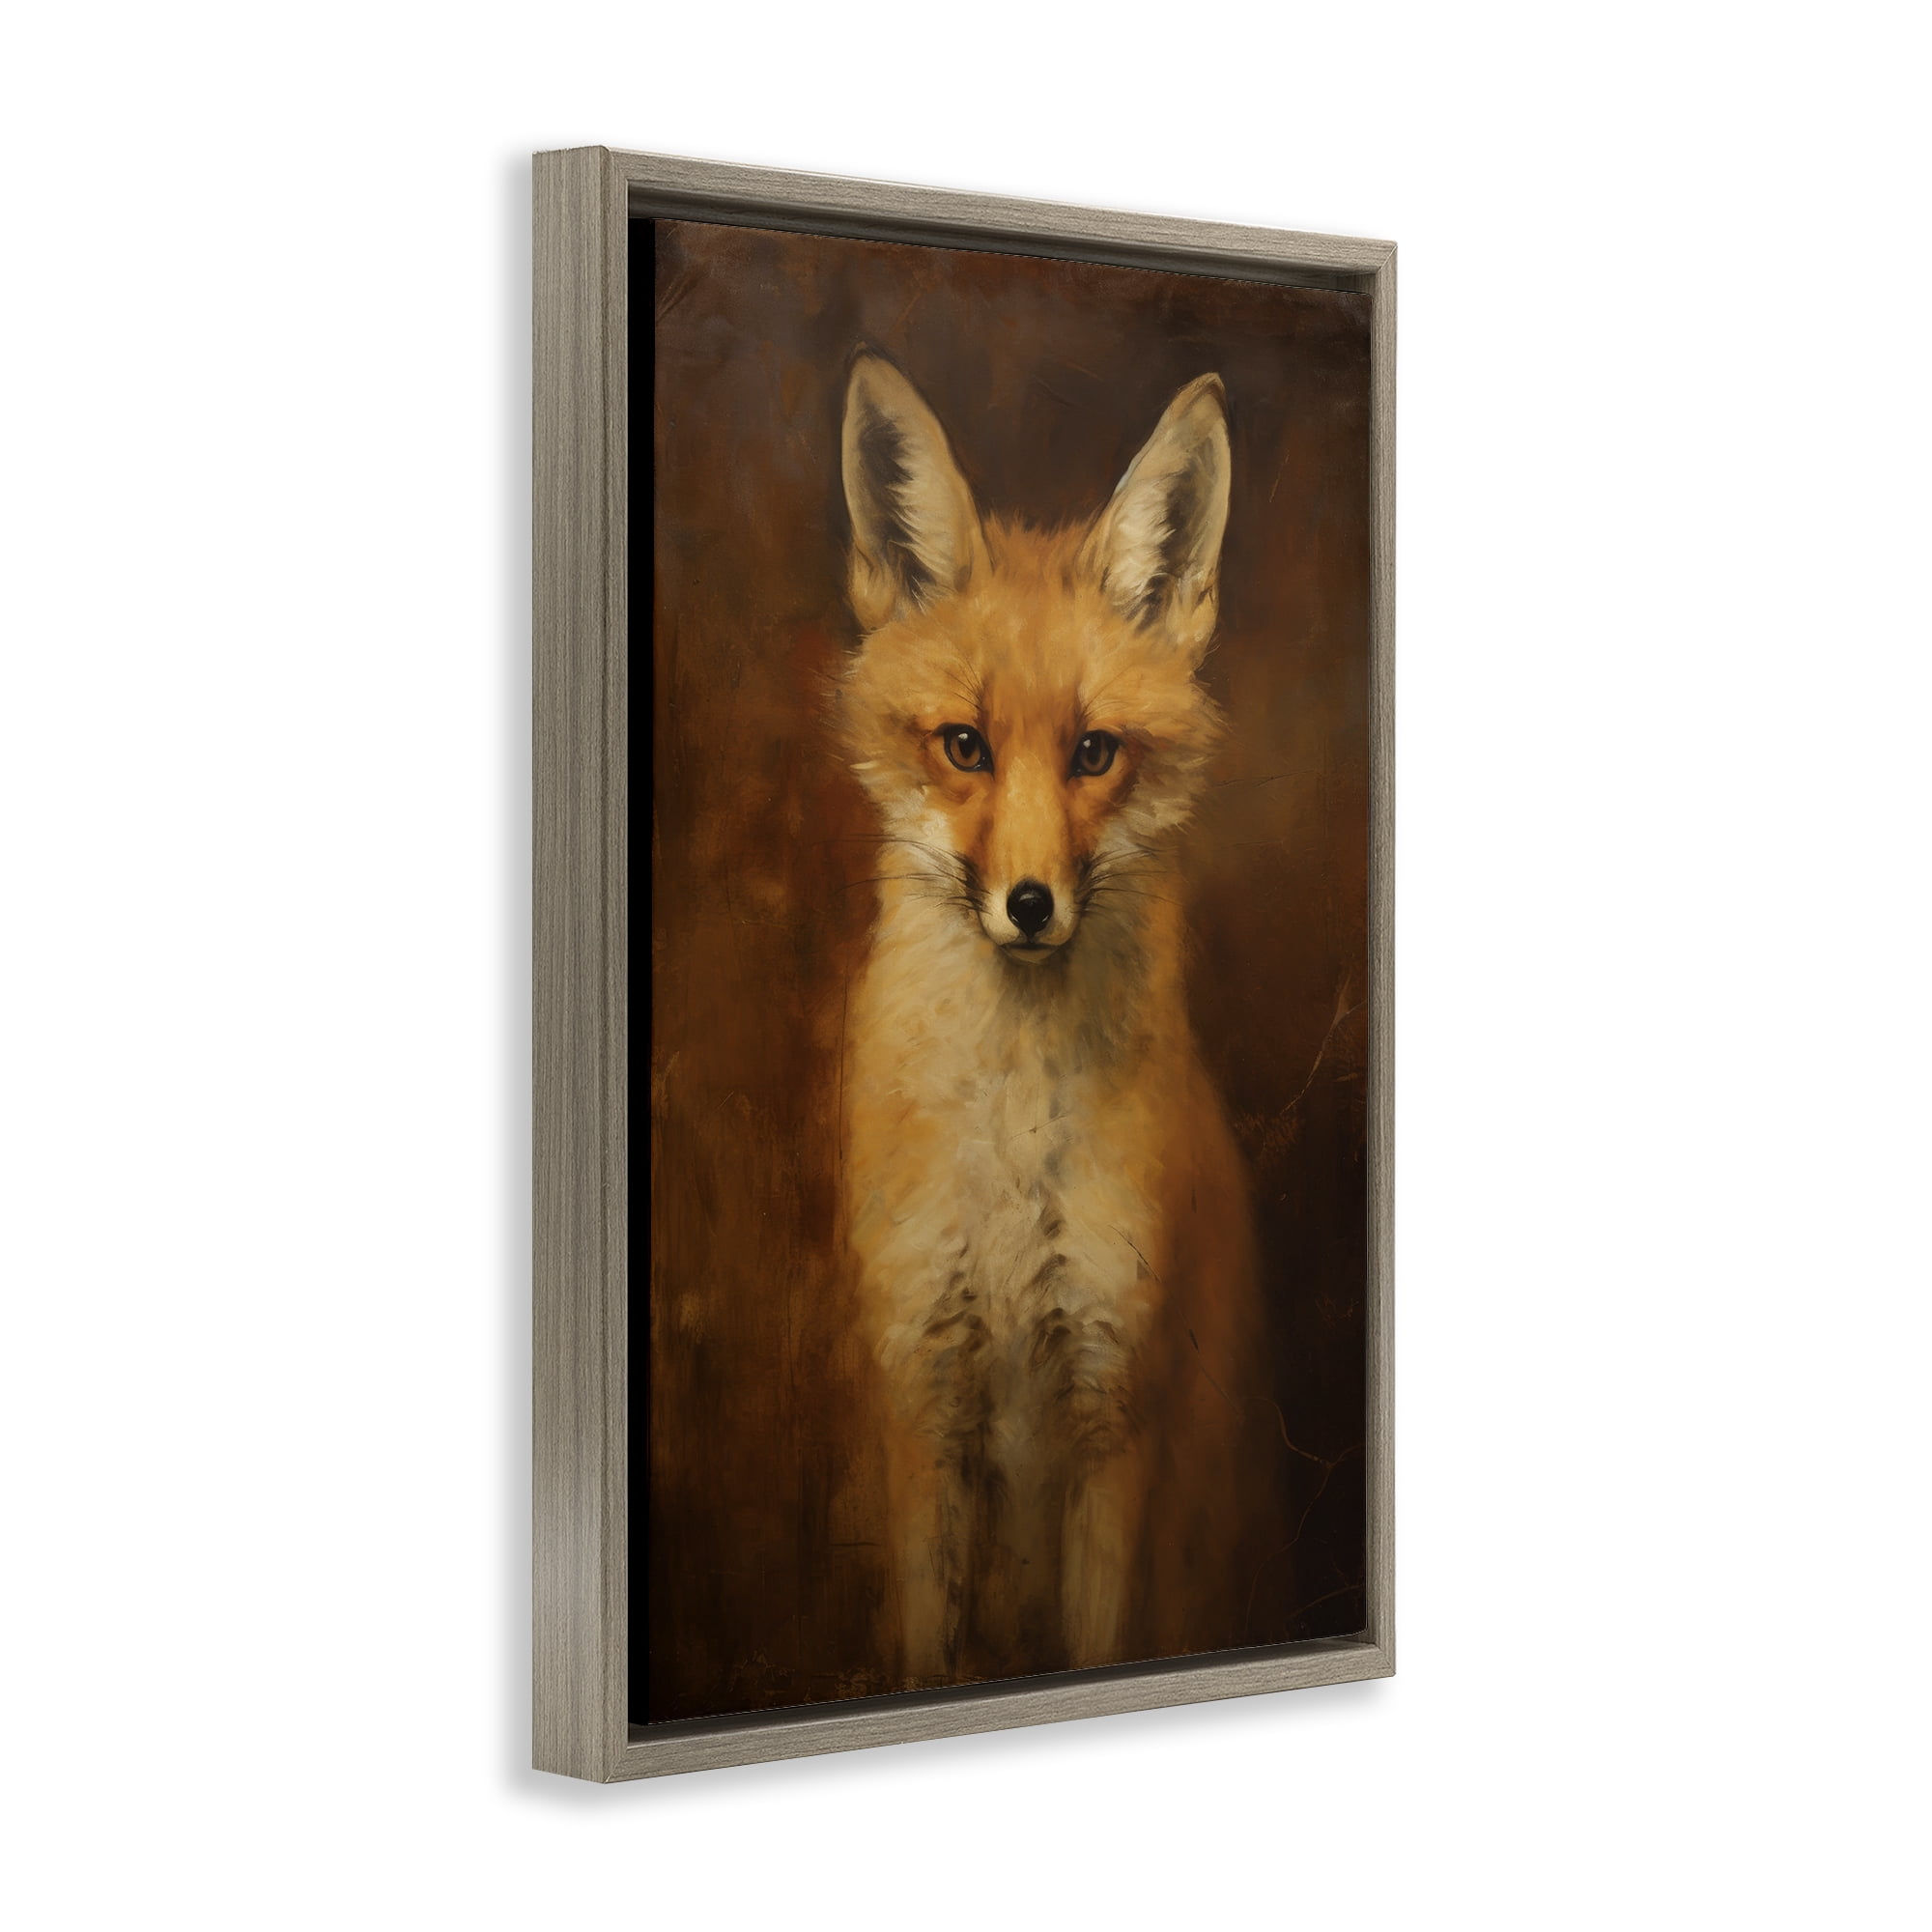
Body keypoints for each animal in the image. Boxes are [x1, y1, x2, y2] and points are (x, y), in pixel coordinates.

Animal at [834, 351, 1271, 1686]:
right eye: (964, 745)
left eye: (1093, 752)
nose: (1028, 904)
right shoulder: (924, 1397)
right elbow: (928, 1660)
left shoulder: (1112, 1409)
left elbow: (1099, 1638)